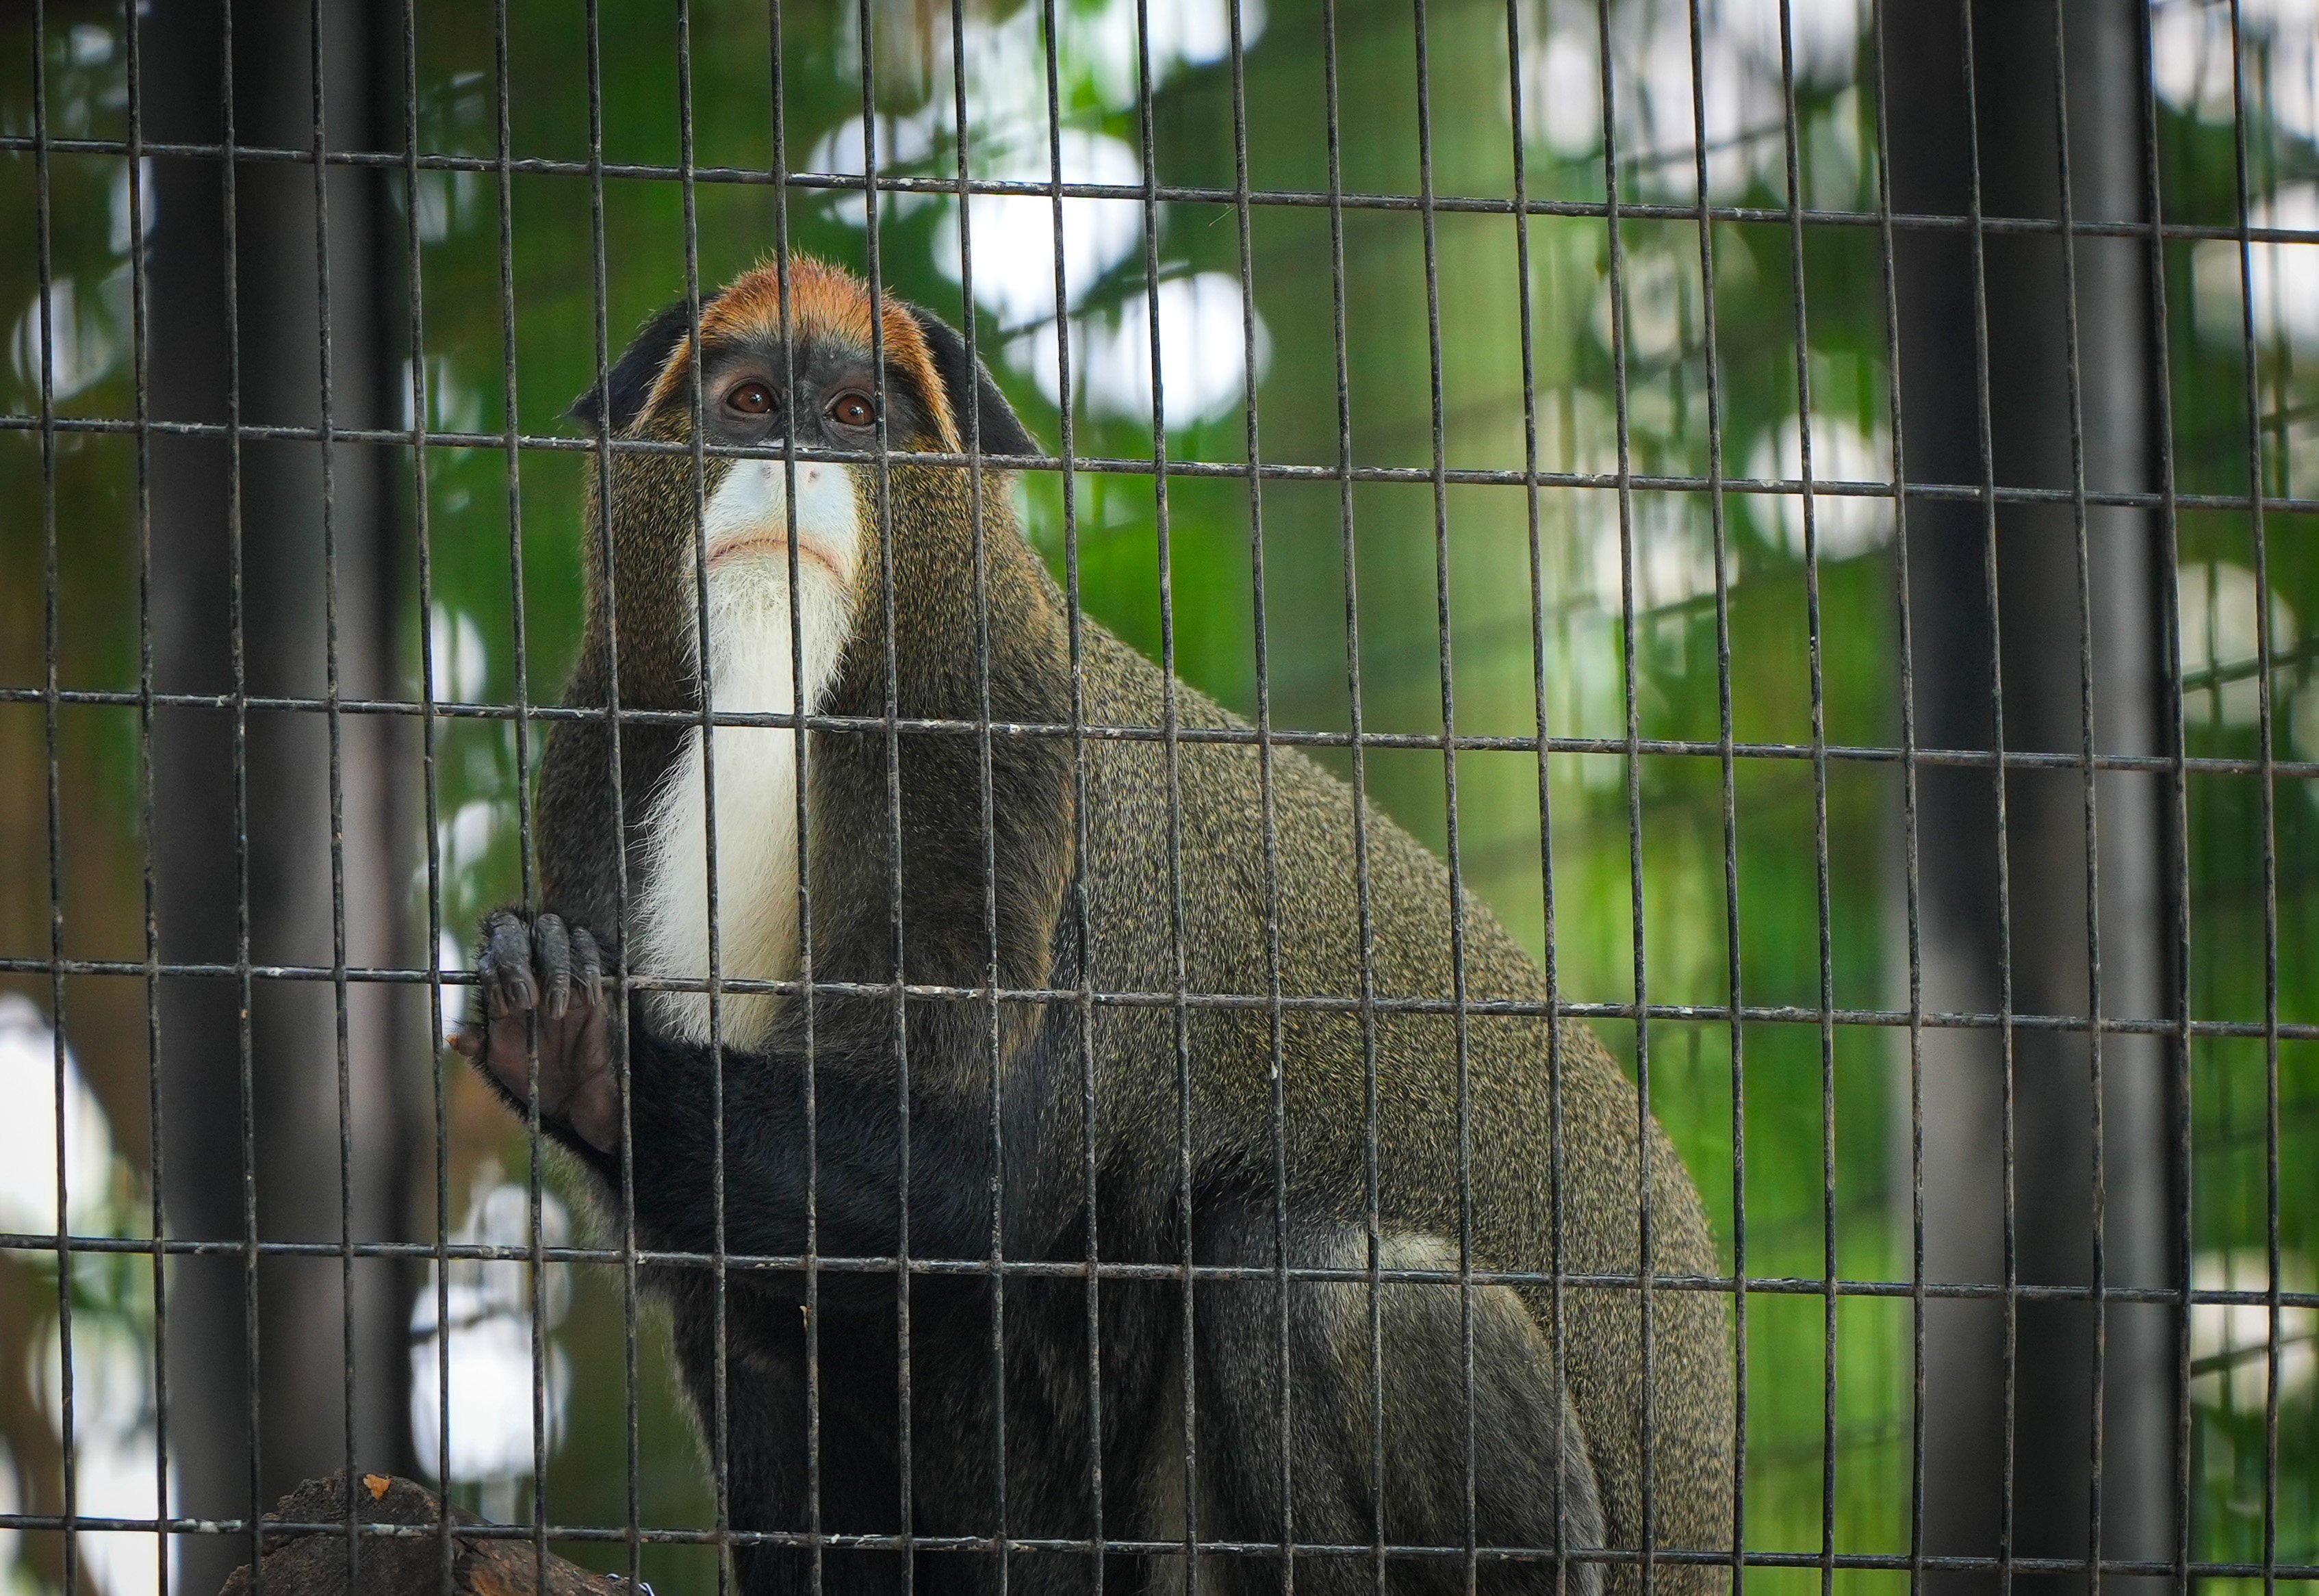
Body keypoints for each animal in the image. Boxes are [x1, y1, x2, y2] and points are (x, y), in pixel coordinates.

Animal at [452, 255, 1734, 1596]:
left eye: (855, 416)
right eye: (749, 401)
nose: (794, 454)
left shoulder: (1014, 752)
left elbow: (968, 1177)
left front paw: (590, 1054)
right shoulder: (596, 764)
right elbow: (747, 1294)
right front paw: (556, 1024)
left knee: (1315, 1280)